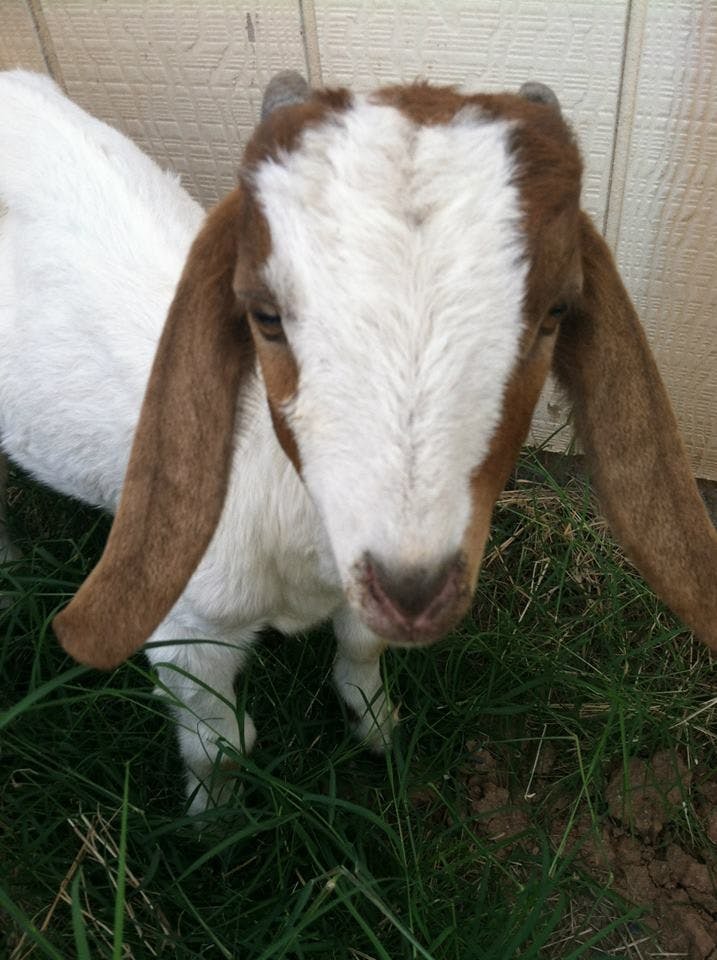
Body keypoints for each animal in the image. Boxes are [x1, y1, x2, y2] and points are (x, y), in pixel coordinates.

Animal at [1, 70, 715, 814]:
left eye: (554, 313)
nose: (415, 590)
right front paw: (211, 821)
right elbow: (222, 744)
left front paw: (376, 731)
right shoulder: (185, 629)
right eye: (265, 316)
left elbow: (363, 653)